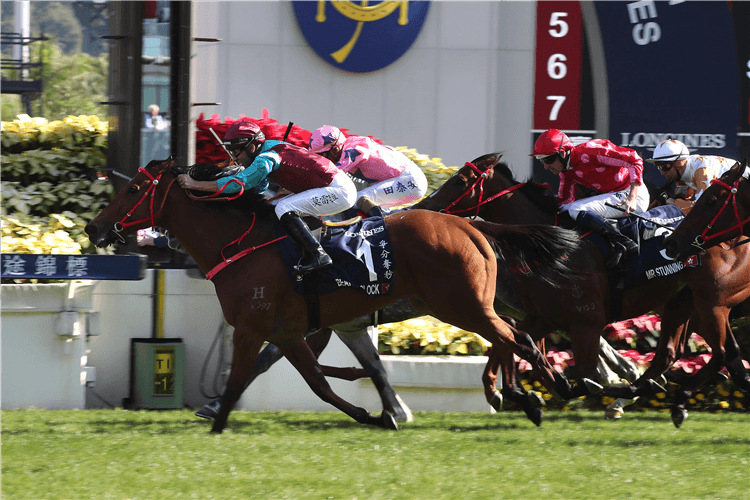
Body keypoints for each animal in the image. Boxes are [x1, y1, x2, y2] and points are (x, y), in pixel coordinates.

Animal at [85, 158, 584, 432]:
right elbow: (319, 381)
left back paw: (546, 390)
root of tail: (472, 226)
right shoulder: (293, 330)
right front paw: (378, 411)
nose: (93, 228)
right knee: (515, 336)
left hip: (460, 305)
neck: (242, 244)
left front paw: (217, 416)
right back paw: (536, 393)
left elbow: (259, 375)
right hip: (465, 304)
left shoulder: (254, 325)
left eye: (133, 189)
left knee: (514, 337)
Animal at [414, 152, 750, 426]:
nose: (424, 206)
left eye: (460, 181)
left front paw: (535, 394)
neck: (553, 246)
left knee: (722, 352)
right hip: (683, 303)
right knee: (680, 353)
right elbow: (513, 343)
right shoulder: (543, 317)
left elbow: (582, 377)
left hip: (712, 302)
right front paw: (513, 395)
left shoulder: (586, 321)